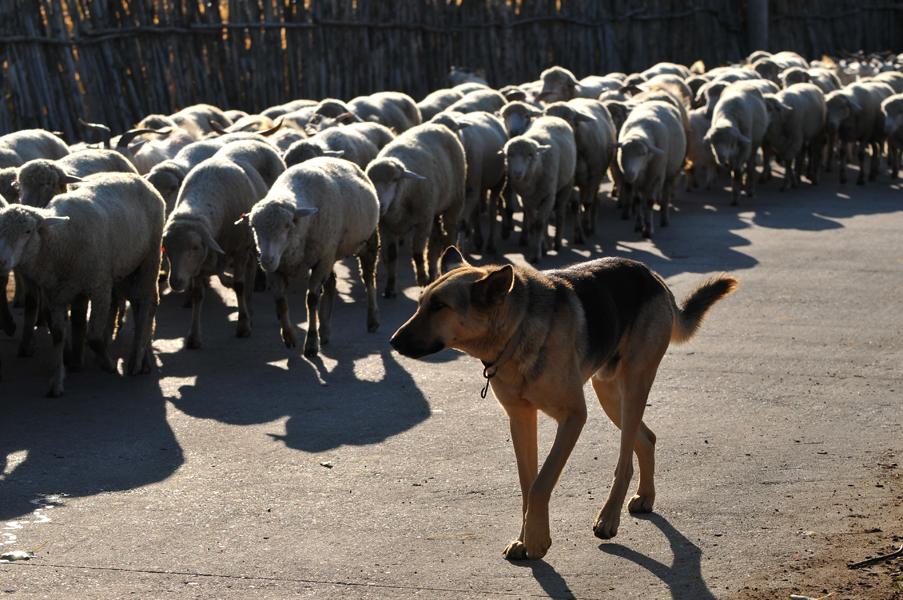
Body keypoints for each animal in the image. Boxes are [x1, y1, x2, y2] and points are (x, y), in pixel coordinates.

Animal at [392, 246, 740, 560]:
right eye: (420, 303)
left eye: (439, 306)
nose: (393, 342)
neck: (515, 330)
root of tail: (650, 274)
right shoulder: (521, 418)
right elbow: (527, 484)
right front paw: (526, 537)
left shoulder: (573, 417)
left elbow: (541, 483)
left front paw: (537, 541)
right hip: (608, 392)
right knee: (647, 438)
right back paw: (645, 496)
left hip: (633, 385)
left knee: (625, 459)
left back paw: (608, 518)